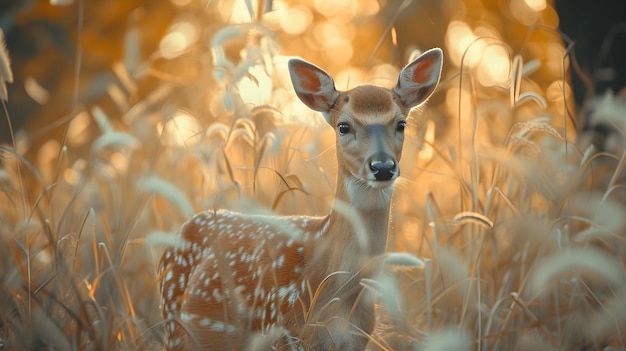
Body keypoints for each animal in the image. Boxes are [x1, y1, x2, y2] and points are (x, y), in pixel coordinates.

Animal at [160, 48, 444, 350]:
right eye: (343, 126)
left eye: (401, 124)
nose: (382, 167)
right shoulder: (280, 329)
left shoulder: (358, 339)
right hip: (175, 329)